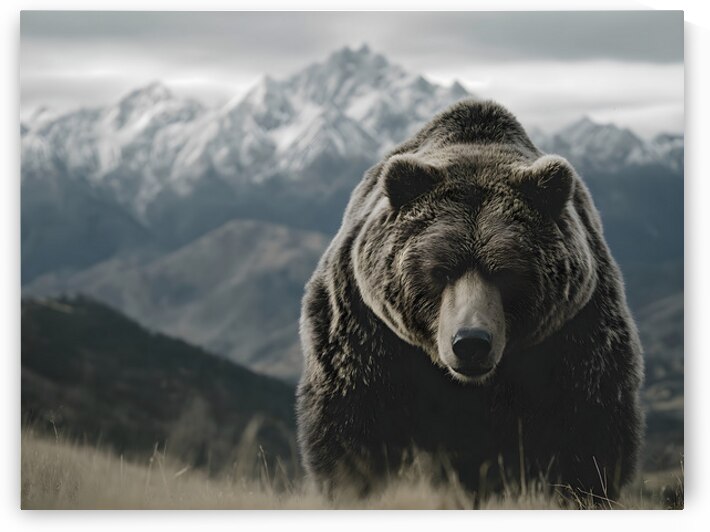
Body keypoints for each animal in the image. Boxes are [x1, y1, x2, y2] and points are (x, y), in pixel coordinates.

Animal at [296, 99, 644, 503]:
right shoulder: (368, 333)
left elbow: (585, 435)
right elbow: (355, 428)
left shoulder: (575, 336)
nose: (471, 343)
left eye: (507, 272)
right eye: (440, 270)